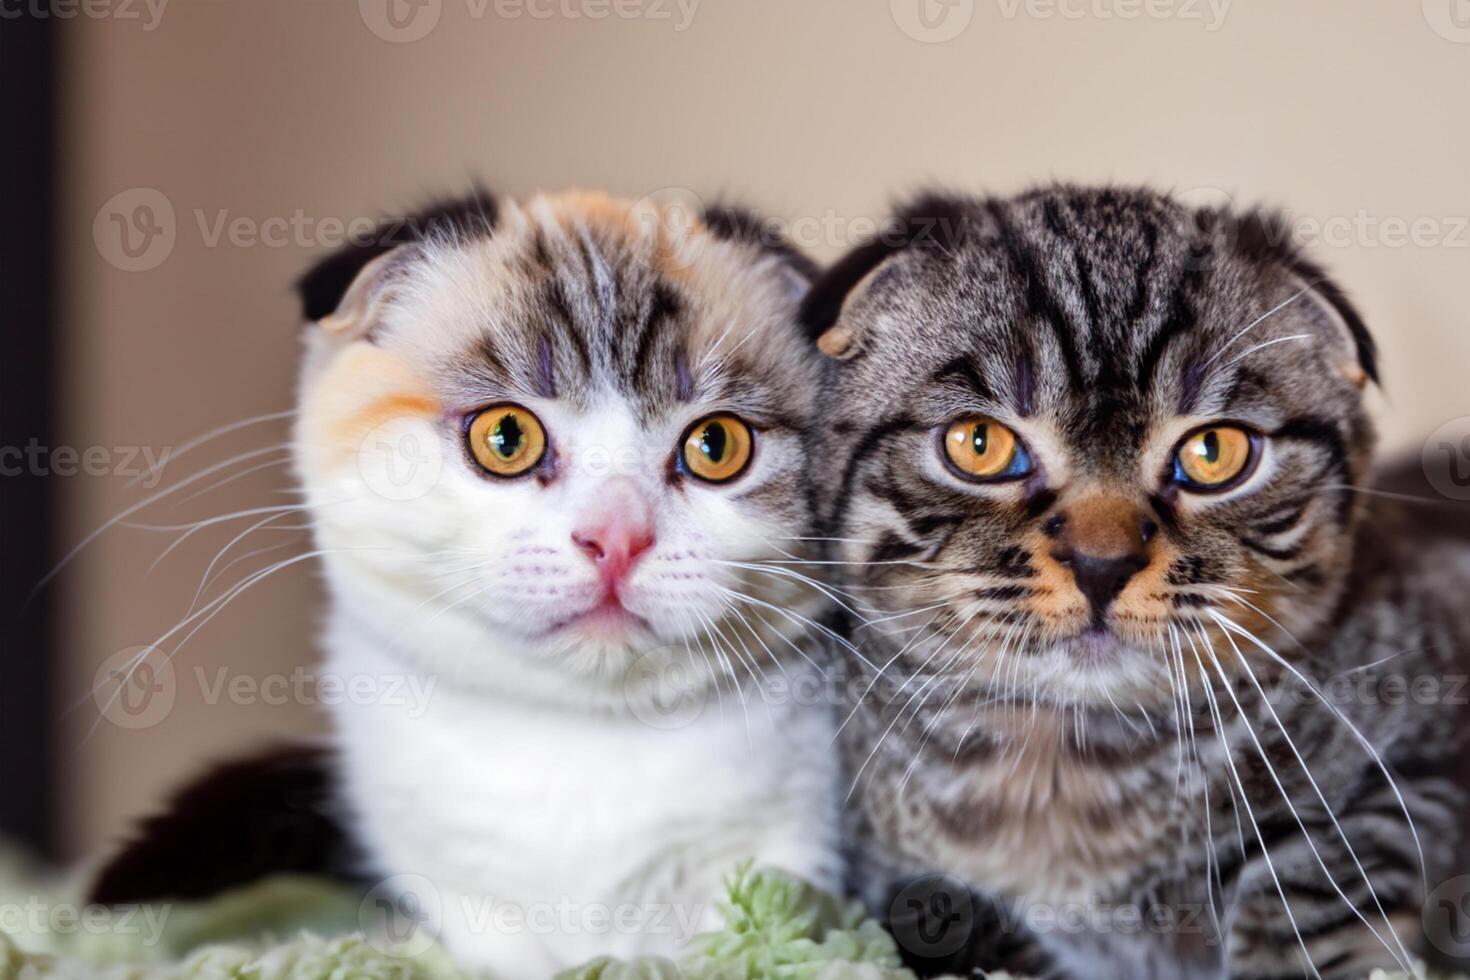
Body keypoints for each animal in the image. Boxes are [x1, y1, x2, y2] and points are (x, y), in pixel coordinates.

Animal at [799, 185, 1470, 980]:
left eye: (1215, 452)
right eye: (978, 443)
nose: (1102, 562)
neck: (1069, 758)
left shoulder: (1423, 766)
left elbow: (1313, 892)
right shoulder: (886, 876)